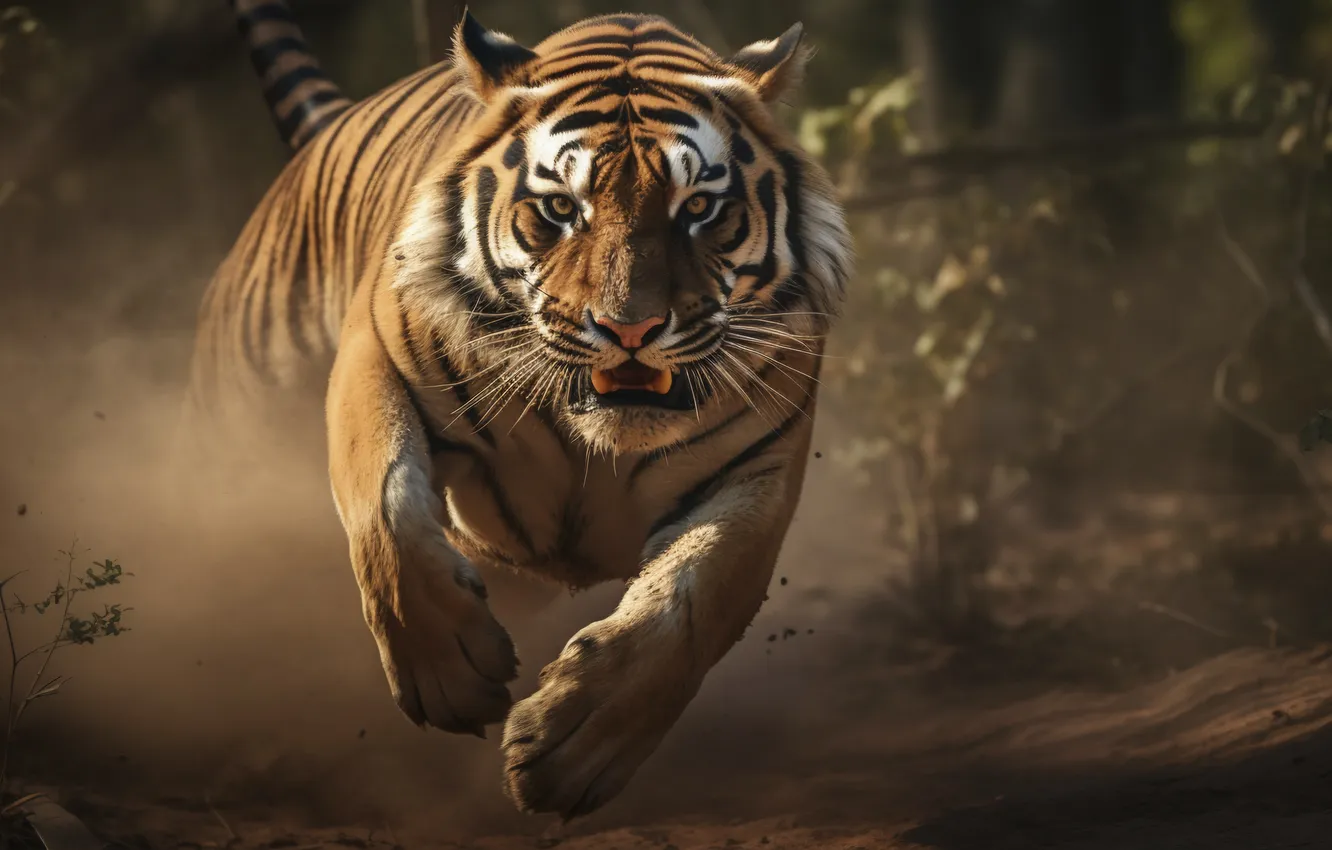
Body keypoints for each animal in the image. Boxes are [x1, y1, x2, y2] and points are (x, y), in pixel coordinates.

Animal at [185, 0, 853, 819]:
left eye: (698, 207)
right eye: (561, 209)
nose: (630, 328)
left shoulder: (759, 473)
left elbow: (690, 603)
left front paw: (572, 749)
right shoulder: (374, 357)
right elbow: (385, 511)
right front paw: (448, 676)